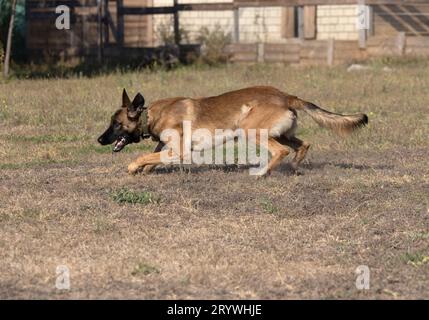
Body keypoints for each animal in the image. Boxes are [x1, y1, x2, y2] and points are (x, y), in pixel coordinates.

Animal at [98, 86, 368, 176]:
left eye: (116, 124)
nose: (99, 139)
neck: (150, 115)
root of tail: (286, 96)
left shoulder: (181, 151)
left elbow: (144, 156)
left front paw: (133, 167)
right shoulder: (167, 147)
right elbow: (153, 158)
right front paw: (144, 170)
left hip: (251, 130)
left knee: (280, 151)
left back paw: (263, 173)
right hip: (282, 133)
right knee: (302, 145)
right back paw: (294, 168)